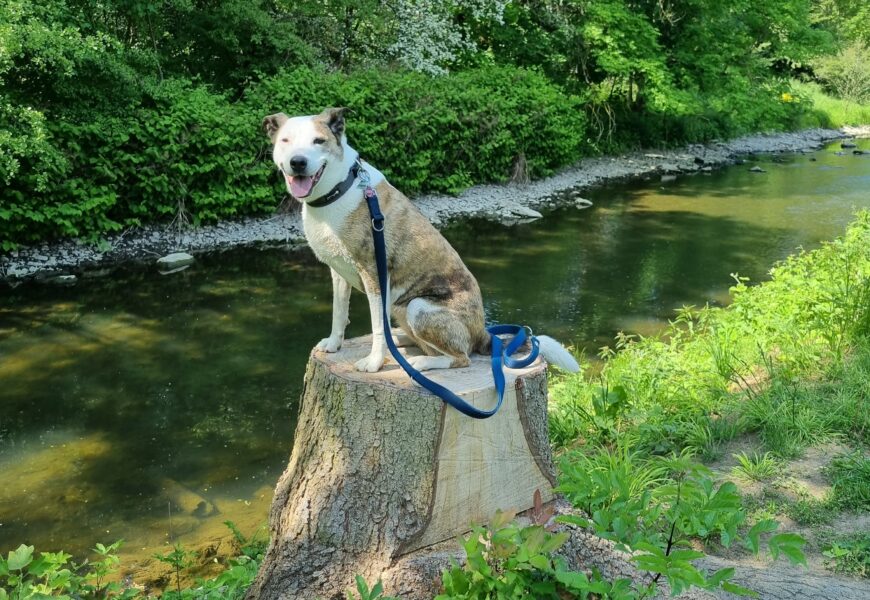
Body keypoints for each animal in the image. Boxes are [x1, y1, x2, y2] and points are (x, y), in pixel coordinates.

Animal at [262, 105, 584, 372]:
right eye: (285, 141)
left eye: (319, 141)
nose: (298, 163)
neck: (338, 189)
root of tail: (484, 334)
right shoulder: (338, 271)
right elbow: (339, 312)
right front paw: (333, 344)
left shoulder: (373, 273)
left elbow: (376, 326)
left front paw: (374, 363)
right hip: (402, 306)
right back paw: (403, 341)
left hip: (419, 306)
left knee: (460, 357)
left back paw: (421, 362)